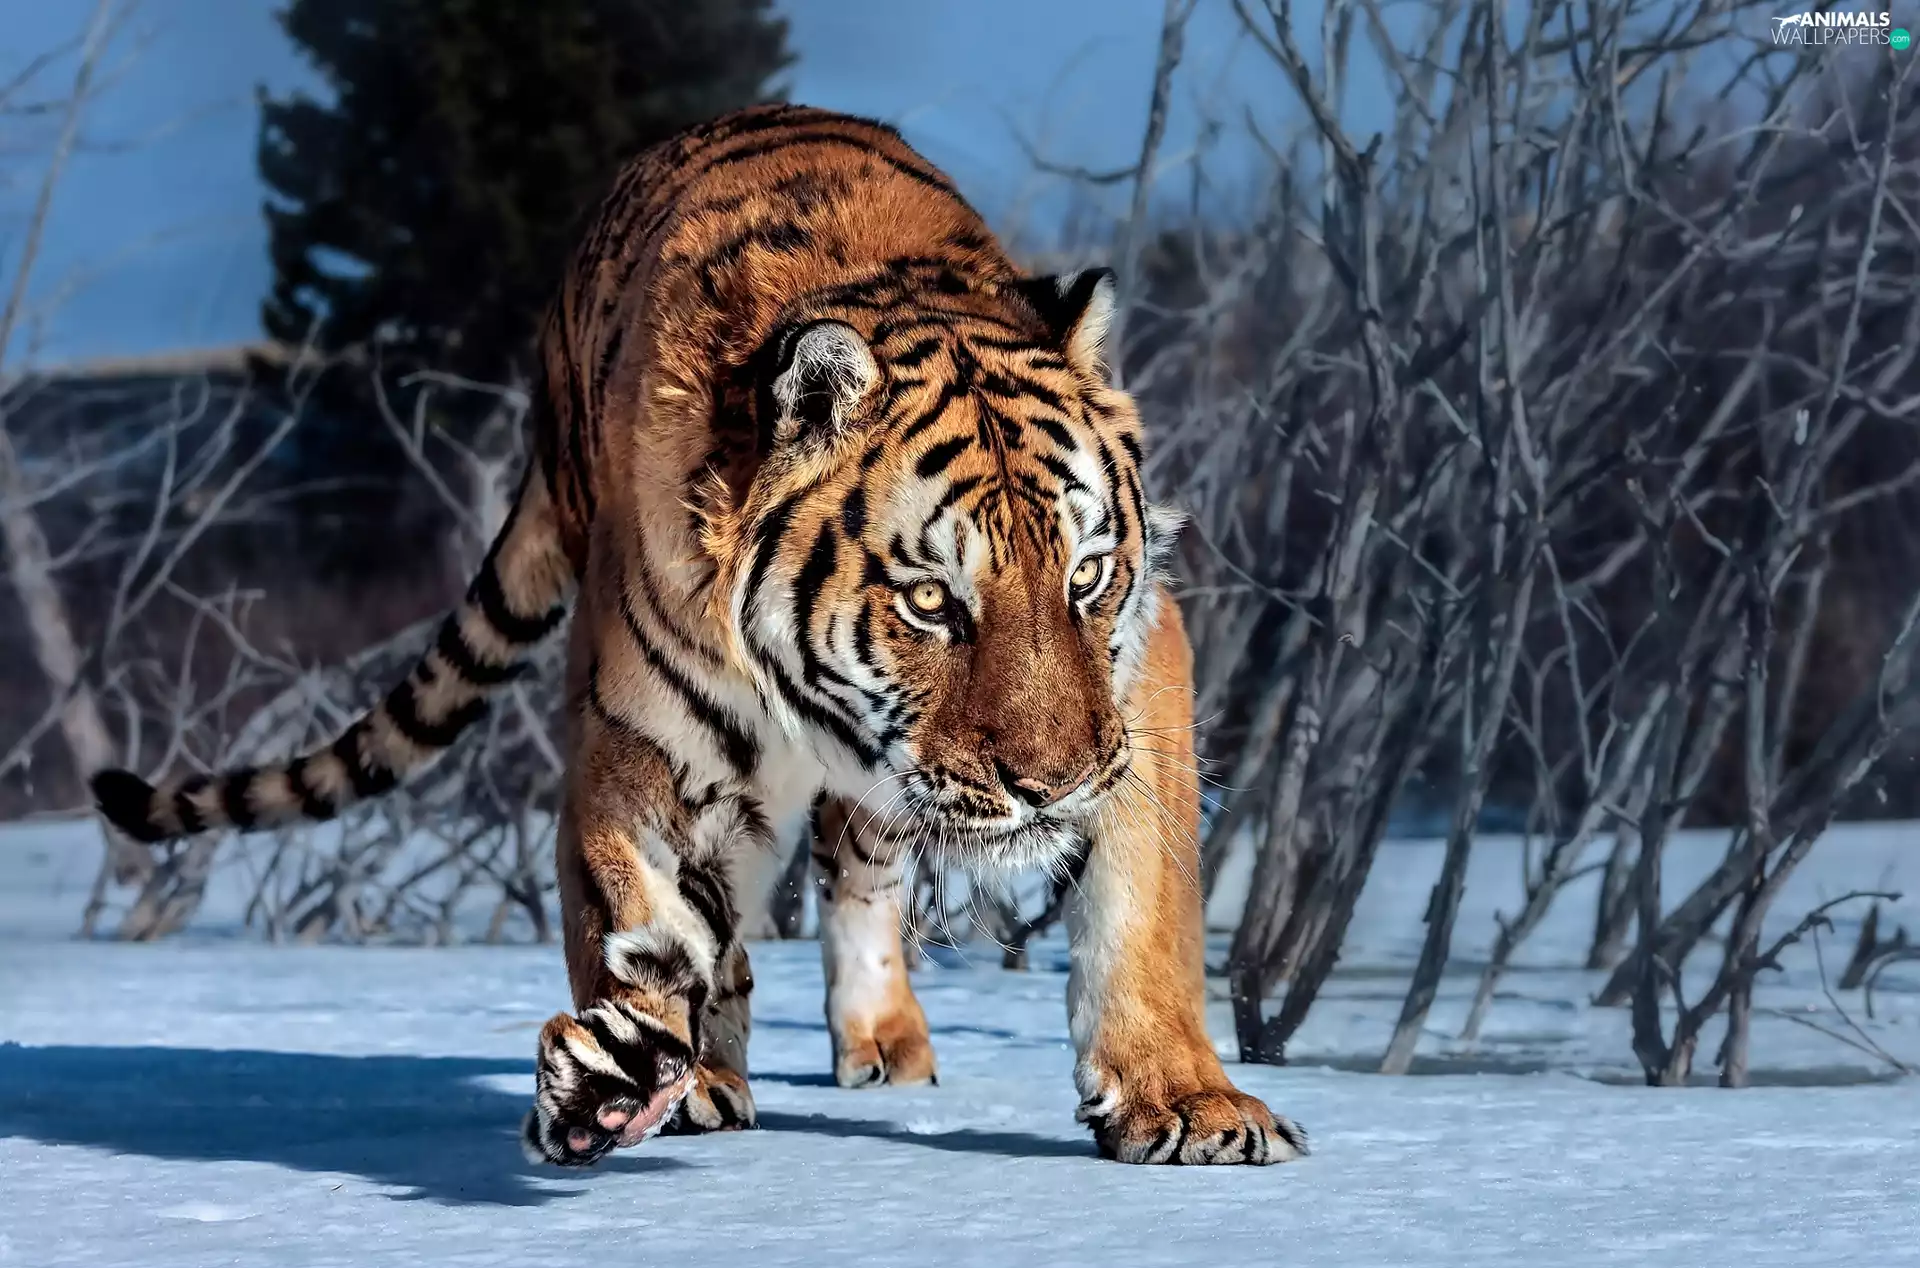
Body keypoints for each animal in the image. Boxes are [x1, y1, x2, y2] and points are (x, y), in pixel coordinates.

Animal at [89, 104, 1308, 1167]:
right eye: (931, 602)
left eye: (1088, 578)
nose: (1048, 788)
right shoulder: (642, 743)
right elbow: (644, 914)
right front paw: (628, 1076)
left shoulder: (1142, 684)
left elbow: (1146, 909)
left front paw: (1188, 1102)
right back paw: (710, 1073)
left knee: (858, 871)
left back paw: (883, 1044)